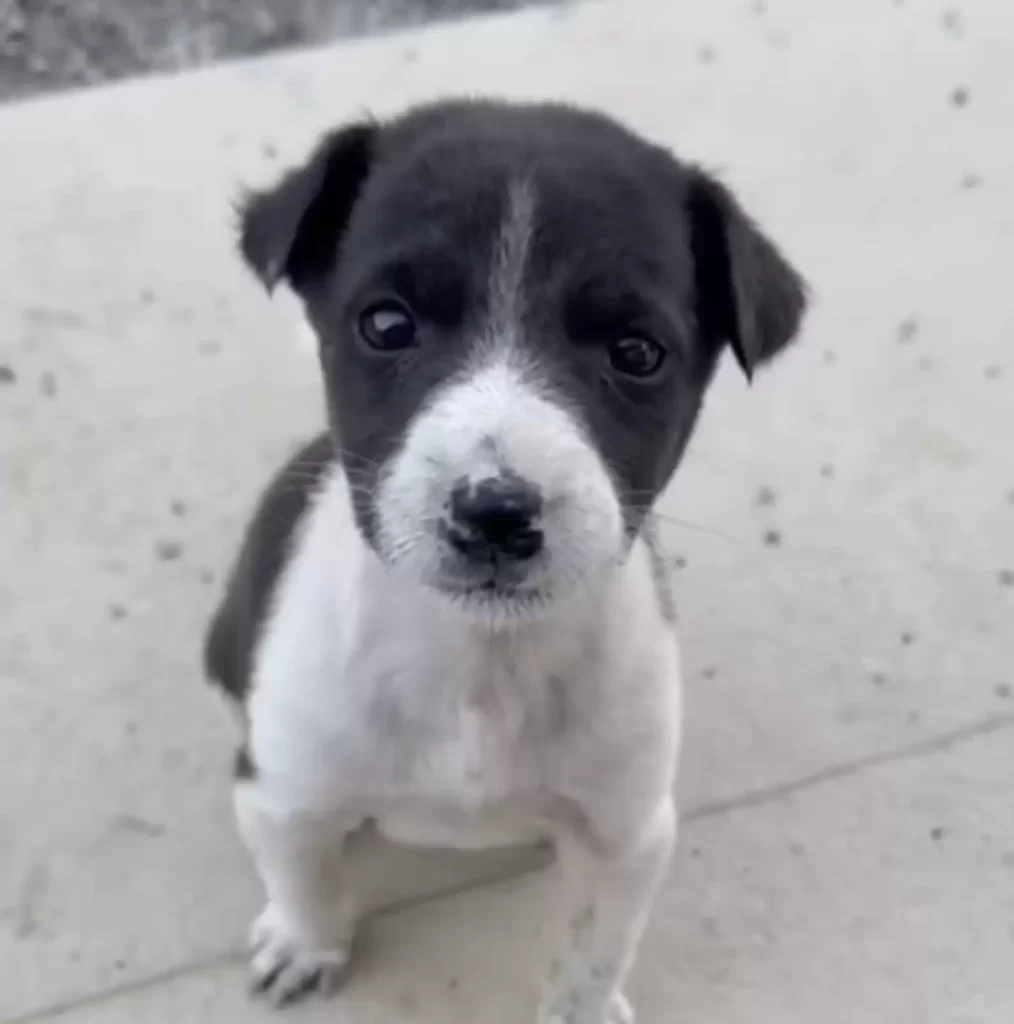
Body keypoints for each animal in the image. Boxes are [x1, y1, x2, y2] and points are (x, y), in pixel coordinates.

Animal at [204, 98, 806, 1023]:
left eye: (637, 352)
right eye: (387, 324)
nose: (495, 512)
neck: (479, 666)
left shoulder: (629, 834)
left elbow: (597, 949)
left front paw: (582, 1012)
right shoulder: (279, 792)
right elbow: (304, 877)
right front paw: (306, 944)